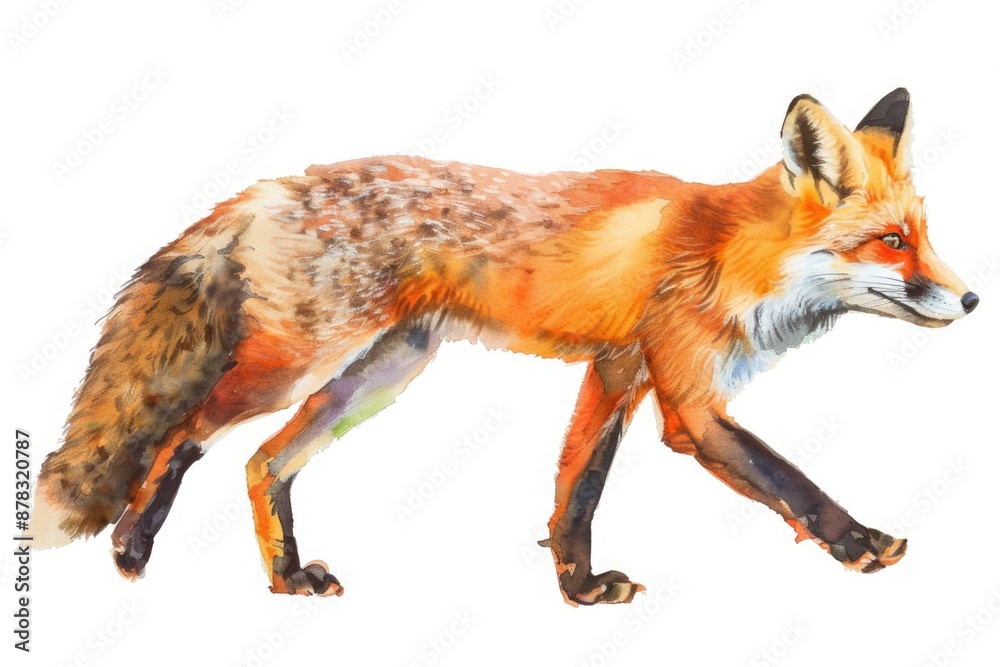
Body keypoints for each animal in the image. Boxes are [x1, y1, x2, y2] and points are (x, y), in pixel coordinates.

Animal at [32, 88, 977, 606]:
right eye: (892, 242)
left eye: (924, 237)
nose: (970, 298)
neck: (731, 253)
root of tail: (272, 185)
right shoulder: (687, 401)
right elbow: (791, 481)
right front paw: (861, 542)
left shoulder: (616, 370)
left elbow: (576, 494)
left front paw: (578, 590)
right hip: (297, 362)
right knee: (182, 432)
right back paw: (131, 546)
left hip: (379, 375)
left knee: (263, 463)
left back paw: (286, 578)